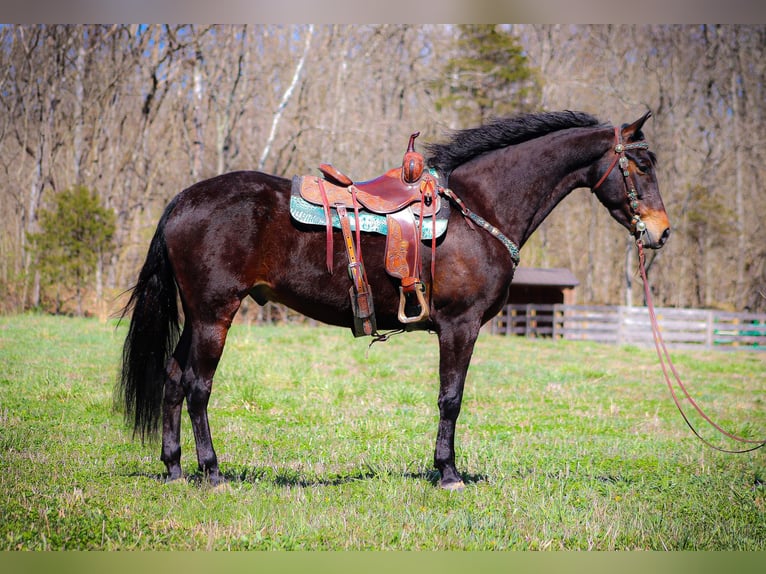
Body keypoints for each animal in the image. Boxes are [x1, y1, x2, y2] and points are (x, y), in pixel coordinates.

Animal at [115, 111, 672, 490]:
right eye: (642, 164)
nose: (662, 232)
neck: (479, 211)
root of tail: (183, 201)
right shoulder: (460, 326)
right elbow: (451, 399)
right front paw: (447, 473)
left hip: (199, 317)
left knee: (172, 380)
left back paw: (175, 468)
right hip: (215, 315)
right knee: (197, 387)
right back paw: (211, 473)